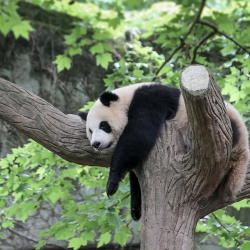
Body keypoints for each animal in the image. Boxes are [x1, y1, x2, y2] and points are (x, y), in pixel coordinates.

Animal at [79, 82, 249, 221]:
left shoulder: (150, 99)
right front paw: (136, 207)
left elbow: (138, 135)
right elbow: (137, 174)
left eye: (103, 125)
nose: (96, 143)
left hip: (221, 126)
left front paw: (111, 184)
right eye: (90, 131)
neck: (127, 98)